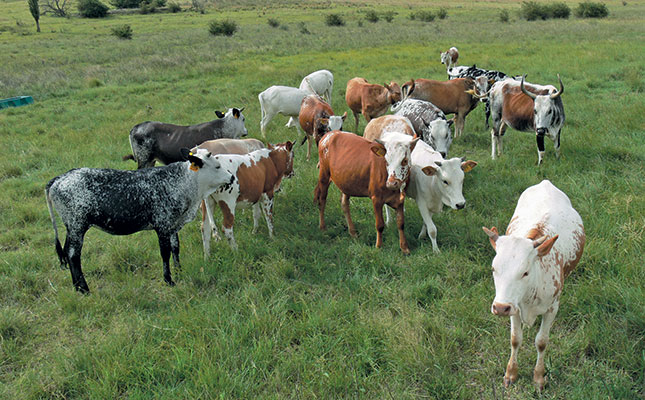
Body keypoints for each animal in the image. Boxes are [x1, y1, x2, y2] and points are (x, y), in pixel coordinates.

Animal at [46, 148, 235, 292]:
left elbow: (176, 248)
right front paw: (169, 280)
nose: (232, 177)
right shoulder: (162, 225)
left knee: (66, 251)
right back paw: (83, 288)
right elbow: (165, 252)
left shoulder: (172, 225)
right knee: (73, 254)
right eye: (217, 166)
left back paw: (76, 286)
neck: (181, 183)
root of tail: (59, 179)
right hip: (77, 225)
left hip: (71, 227)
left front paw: (179, 272)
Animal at [484, 180, 584, 390]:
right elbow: (515, 339)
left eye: (525, 272)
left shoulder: (552, 308)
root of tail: (546, 182)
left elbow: (541, 342)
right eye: (494, 269)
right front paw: (511, 373)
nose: (500, 308)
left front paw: (539, 377)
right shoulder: (514, 306)